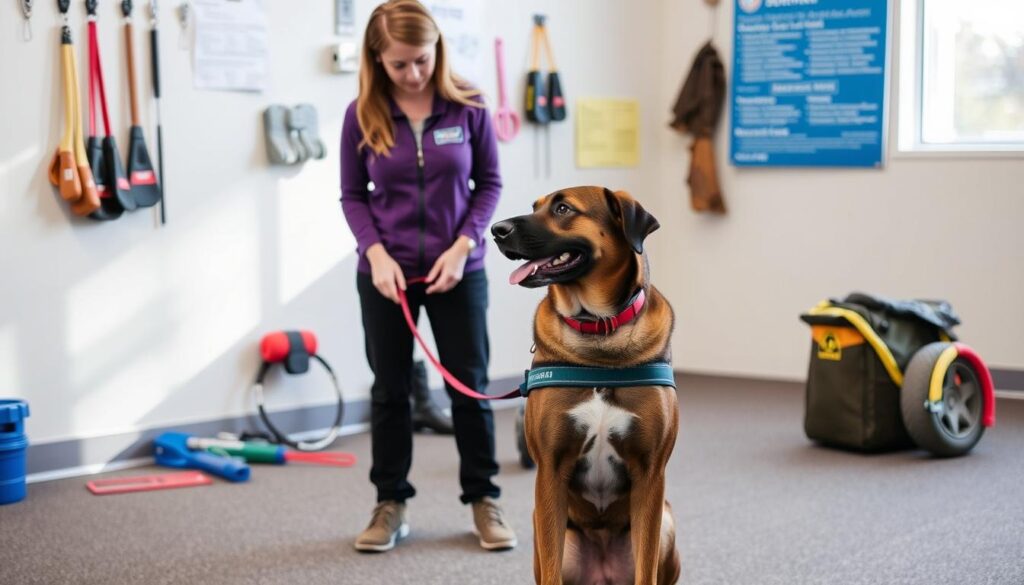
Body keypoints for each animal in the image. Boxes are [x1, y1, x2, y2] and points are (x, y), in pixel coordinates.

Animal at [493, 187, 684, 585]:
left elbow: (646, 570)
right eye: (535, 206)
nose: (495, 230)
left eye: (564, 209)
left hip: (668, 521)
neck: (598, 332)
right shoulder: (550, 471)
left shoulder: (651, 474)